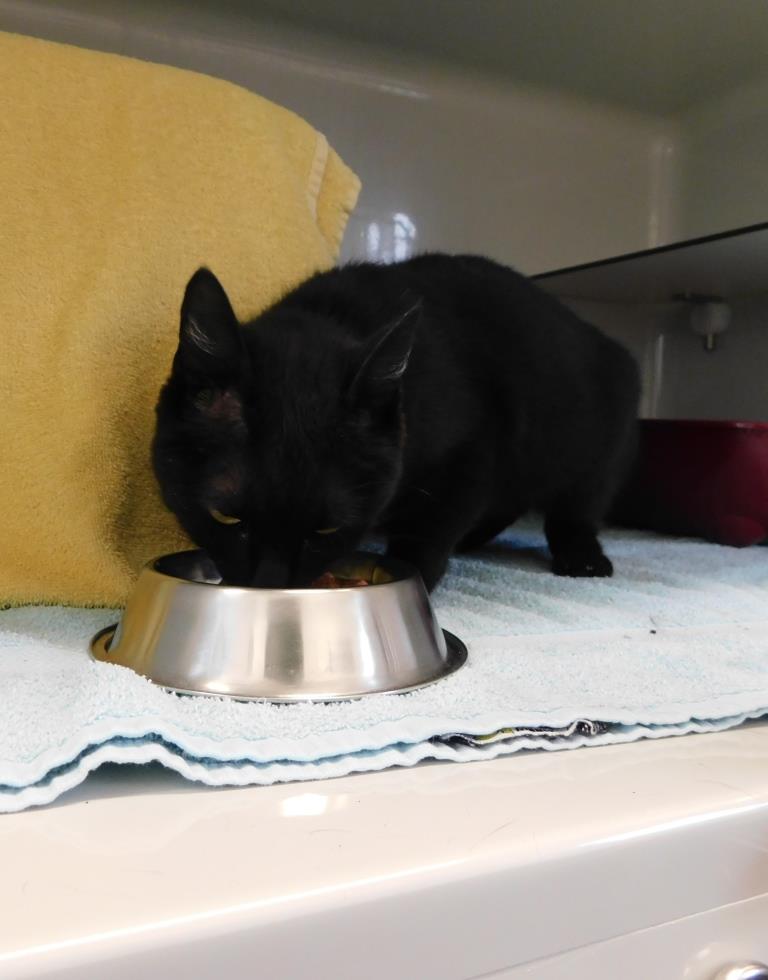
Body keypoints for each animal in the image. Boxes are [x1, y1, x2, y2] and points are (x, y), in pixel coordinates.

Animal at [152, 254, 640, 591]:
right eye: (224, 516)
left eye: (327, 529)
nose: (269, 586)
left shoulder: (475, 452)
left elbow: (430, 531)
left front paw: (418, 577)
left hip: (595, 444)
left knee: (576, 507)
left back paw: (583, 557)